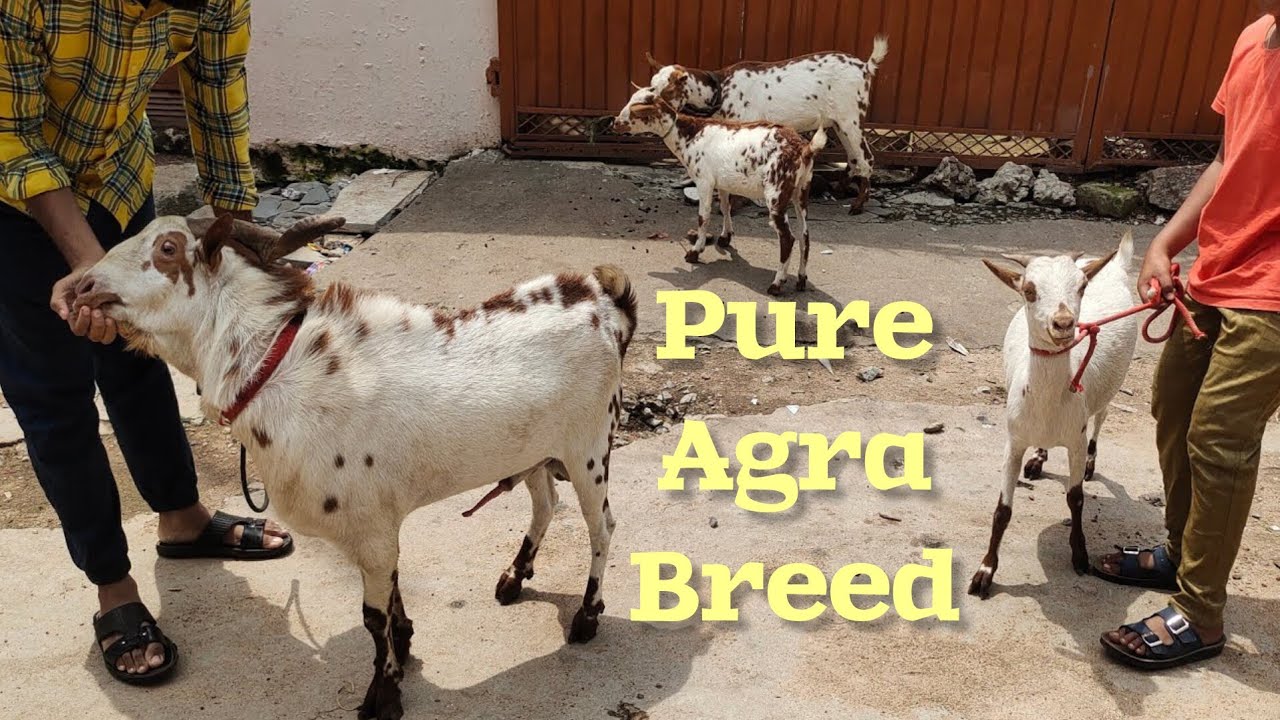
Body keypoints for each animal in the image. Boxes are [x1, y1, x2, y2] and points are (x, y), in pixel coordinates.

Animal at [73, 214, 638, 720]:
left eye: (167, 248)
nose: (80, 287)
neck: (277, 368)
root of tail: (605, 302)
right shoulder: (377, 529)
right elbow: (390, 598)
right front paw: (405, 644)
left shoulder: (370, 529)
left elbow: (372, 618)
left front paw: (383, 696)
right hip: (538, 451)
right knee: (547, 503)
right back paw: (515, 577)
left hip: (589, 448)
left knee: (603, 527)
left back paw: (586, 616)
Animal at [613, 87, 827, 296]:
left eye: (636, 110)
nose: (615, 123)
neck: (689, 136)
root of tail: (804, 149)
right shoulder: (722, 183)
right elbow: (725, 207)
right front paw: (725, 237)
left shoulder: (704, 180)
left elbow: (703, 217)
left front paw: (695, 252)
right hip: (801, 190)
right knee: (805, 235)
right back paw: (801, 279)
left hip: (777, 192)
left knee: (788, 238)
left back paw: (777, 284)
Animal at [644, 35, 888, 213]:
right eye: (652, 85)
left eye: (667, 91)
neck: (720, 88)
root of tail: (865, 67)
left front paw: (734, 205)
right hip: (839, 123)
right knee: (853, 158)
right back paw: (840, 190)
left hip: (851, 117)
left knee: (866, 158)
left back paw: (858, 205)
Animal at [969, 232, 1138, 599]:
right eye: (1029, 289)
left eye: (1081, 287)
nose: (1063, 323)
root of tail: (1114, 265)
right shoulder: (1014, 440)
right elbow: (1002, 510)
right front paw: (985, 572)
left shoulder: (1075, 437)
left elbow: (1075, 498)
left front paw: (1080, 555)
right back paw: (1039, 458)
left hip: (1112, 387)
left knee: (1101, 418)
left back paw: (1090, 463)